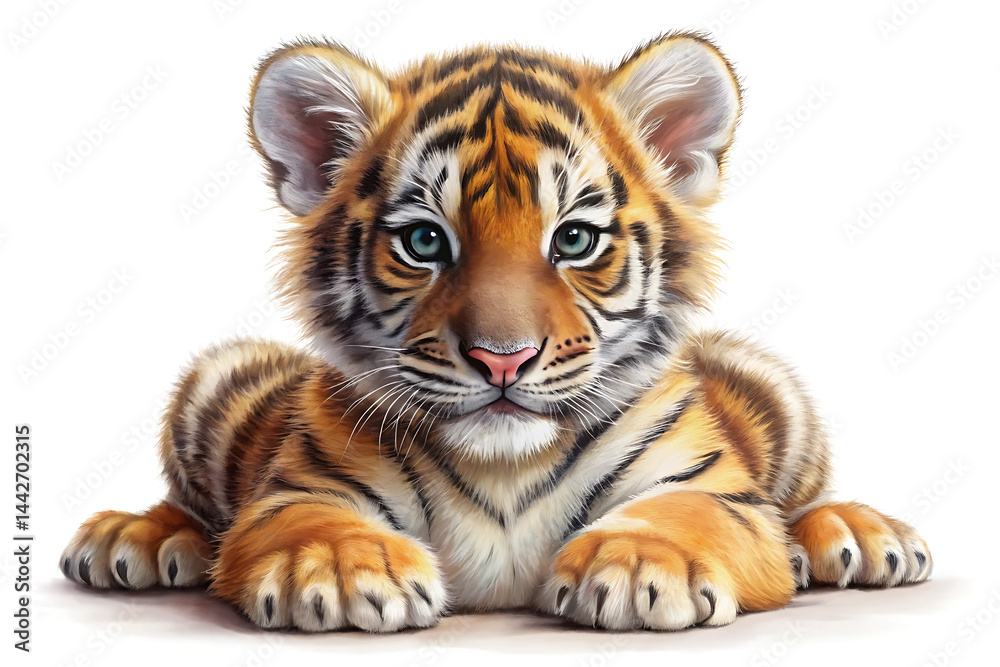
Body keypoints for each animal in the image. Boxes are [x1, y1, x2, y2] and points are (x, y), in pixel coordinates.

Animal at [60, 32, 932, 633]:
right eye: (424, 241)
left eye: (574, 240)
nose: (501, 359)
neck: (506, 467)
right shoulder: (295, 488)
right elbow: (308, 522)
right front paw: (343, 570)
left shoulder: (716, 489)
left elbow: (685, 514)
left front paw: (636, 565)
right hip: (213, 384)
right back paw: (135, 538)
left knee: (805, 498)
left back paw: (857, 533)